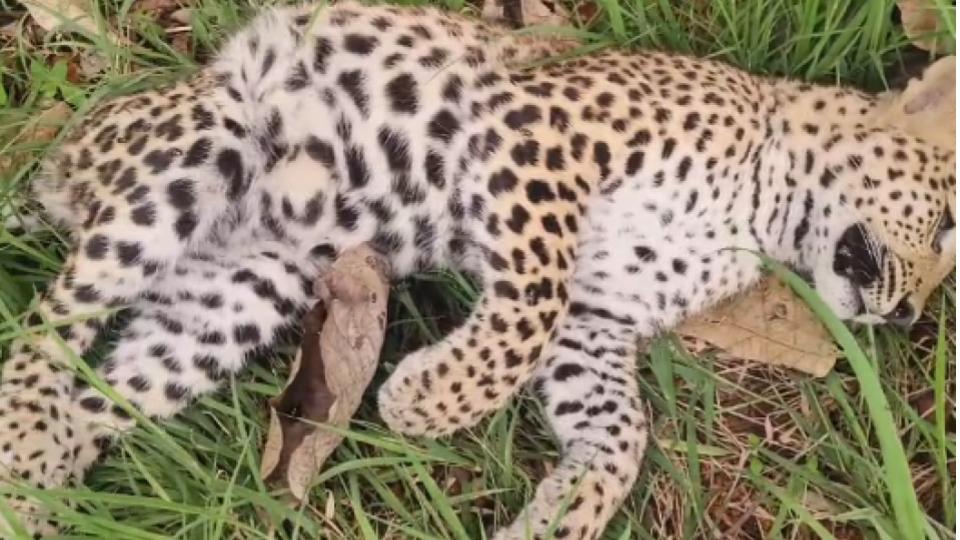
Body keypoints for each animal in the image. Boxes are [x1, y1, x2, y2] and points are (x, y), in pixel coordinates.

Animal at [0, 1, 955, 538]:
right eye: (948, 223)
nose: (908, 317)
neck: (763, 217)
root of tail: (66, 157)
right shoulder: (543, 139)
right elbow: (530, 299)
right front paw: (429, 401)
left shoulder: (597, 322)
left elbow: (621, 432)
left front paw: (561, 517)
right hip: (205, 144)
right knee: (46, 329)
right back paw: (26, 447)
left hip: (245, 288)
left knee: (107, 390)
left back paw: (44, 495)